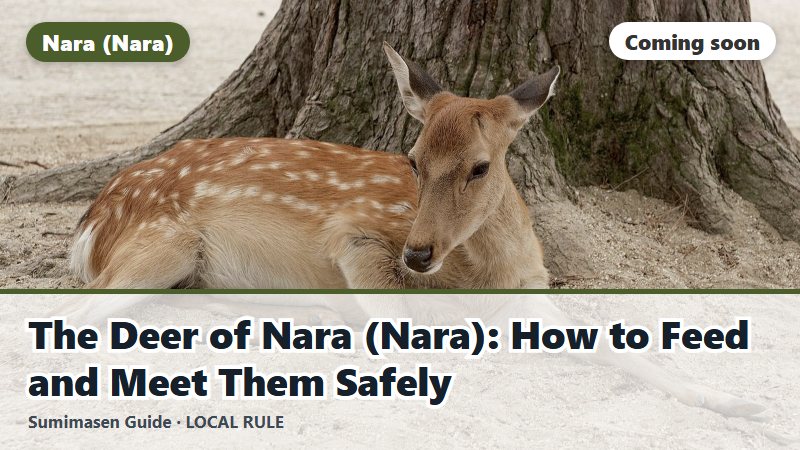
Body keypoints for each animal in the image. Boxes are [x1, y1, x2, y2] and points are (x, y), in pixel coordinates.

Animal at [63, 43, 765, 418]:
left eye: (480, 166)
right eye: (413, 159)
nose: (420, 254)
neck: (480, 278)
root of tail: (93, 218)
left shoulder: (534, 293)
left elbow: (622, 347)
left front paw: (745, 405)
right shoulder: (356, 239)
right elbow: (404, 335)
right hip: (162, 244)